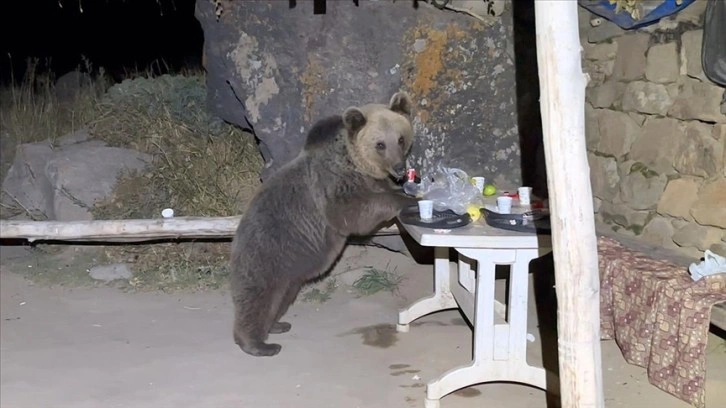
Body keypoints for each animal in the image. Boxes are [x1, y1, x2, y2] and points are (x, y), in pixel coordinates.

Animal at [228, 91, 420, 356]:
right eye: (380, 144)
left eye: (401, 139)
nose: (399, 167)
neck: (356, 163)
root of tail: (235, 239)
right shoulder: (333, 184)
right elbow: (354, 212)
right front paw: (407, 200)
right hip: (268, 255)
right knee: (258, 298)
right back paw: (259, 344)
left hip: (291, 271)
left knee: (281, 298)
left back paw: (278, 325)